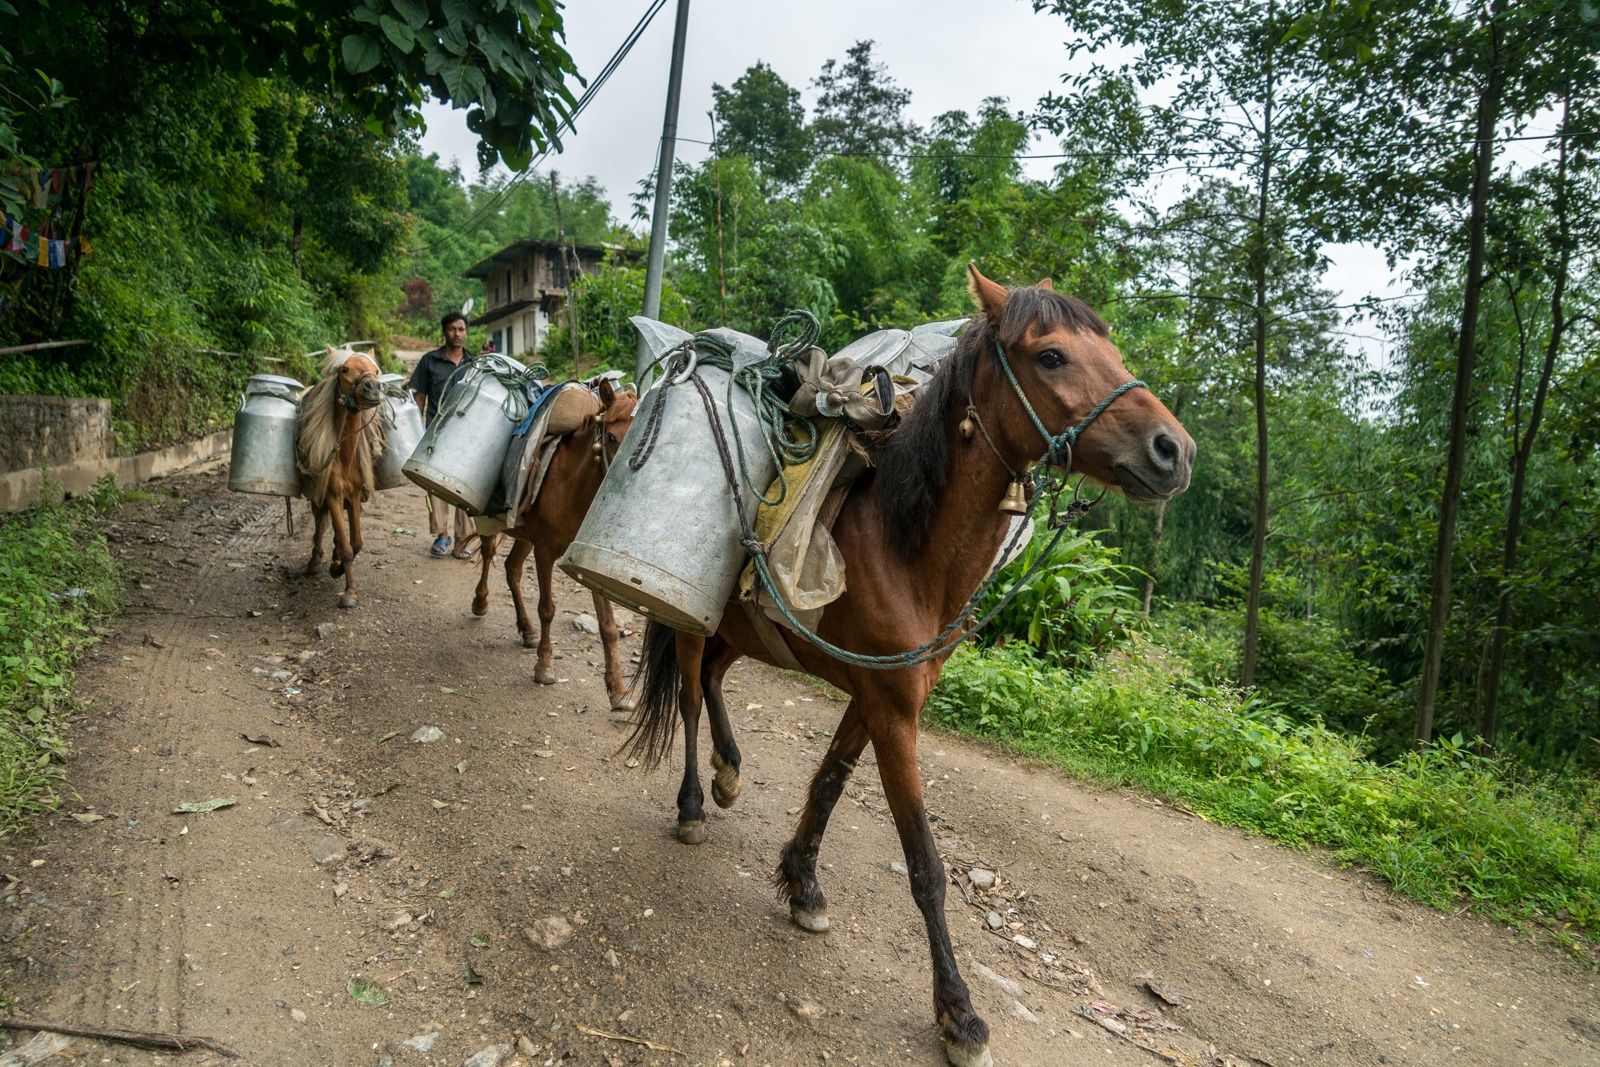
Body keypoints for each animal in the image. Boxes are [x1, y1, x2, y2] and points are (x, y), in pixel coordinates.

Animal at [467, 375, 636, 710]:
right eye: (611, 437)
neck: (570, 485)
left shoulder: (583, 563)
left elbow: (608, 626)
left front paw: (618, 689)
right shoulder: (545, 552)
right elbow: (547, 609)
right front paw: (544, 665)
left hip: (525, 539)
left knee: (512, 569)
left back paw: (526, 629)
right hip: (497, 526)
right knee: (489, 554)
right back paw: (481, 602)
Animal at [630, 268, 1196, 1067]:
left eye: (1112, 350)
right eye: (1051, 355)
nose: (1174, 450)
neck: (903, 546)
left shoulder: (880, 696)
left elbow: (830, 783)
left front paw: (802, 883)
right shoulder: (894, 711)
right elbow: (926, 865)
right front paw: (958, 1013)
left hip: (741, 629)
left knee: (711, 678)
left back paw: (730, 771)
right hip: (689, 617)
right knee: (684, 691)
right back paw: (690, 804)